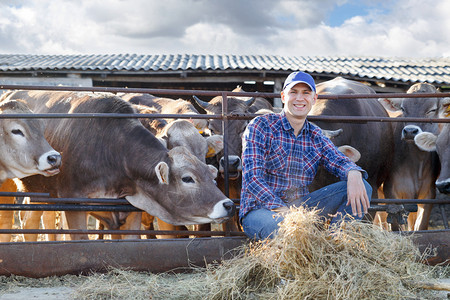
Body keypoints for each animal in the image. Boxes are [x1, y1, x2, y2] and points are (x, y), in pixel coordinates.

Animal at [7, 90, 236, 240]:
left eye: (209, 171)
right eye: (187, 178)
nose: (228, 204)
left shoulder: (129, 210)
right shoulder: (74, 204)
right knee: (30, 220)